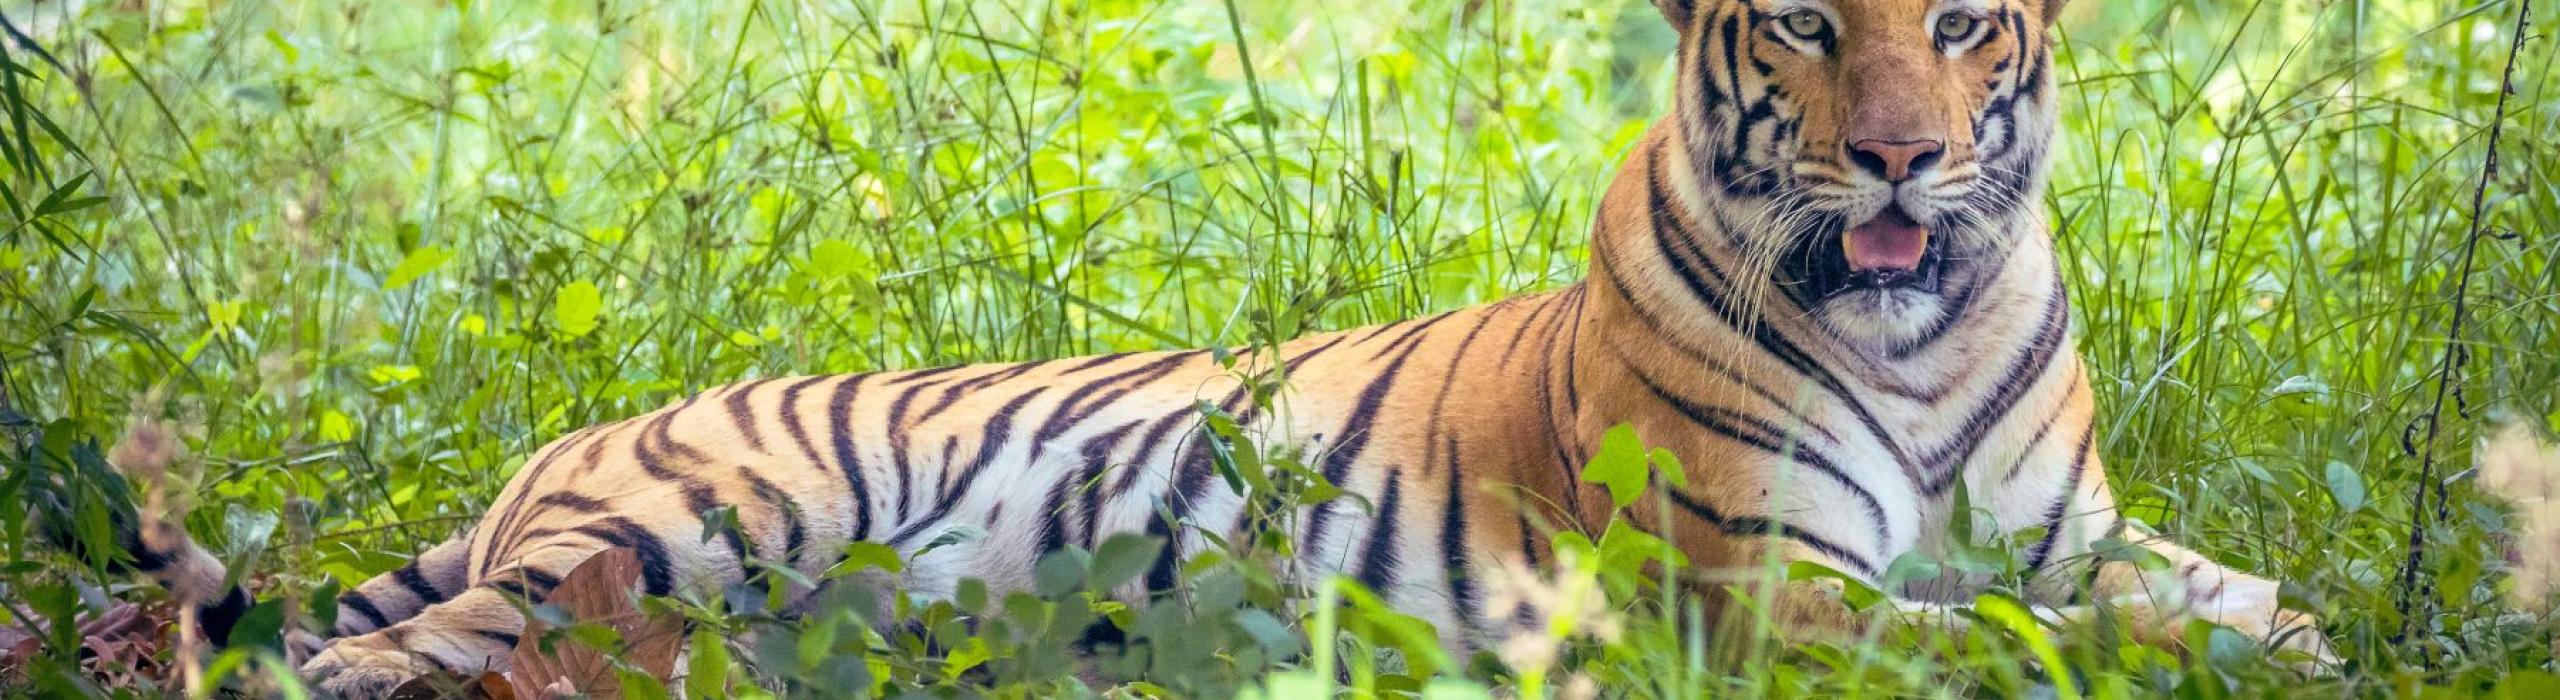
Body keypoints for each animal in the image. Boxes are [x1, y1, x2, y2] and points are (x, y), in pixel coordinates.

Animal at [109, 0, 2334, 695]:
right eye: (1802, 21)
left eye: (1956, 23)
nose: (1895, 153)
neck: (1919, 328)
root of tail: (573, 436)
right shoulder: (1762, 587)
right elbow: (2014, 638)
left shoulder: (2064, 524)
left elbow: (2241, 594)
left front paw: (2303, 643)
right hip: (703, 520)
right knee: (378, 643)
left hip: (728, 611)